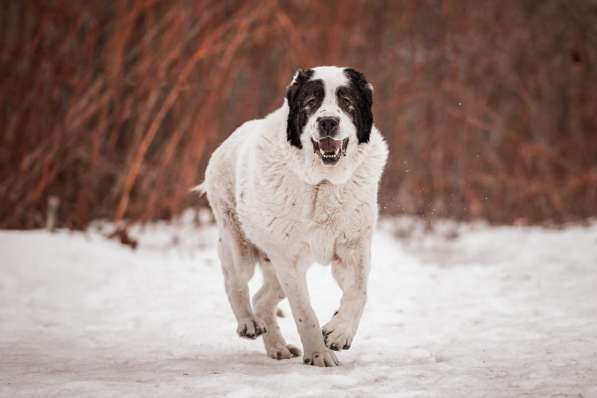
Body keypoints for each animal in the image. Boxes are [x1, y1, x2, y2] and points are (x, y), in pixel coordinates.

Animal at [198, 65, 388, 366]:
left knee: (262, 298)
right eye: (311, 102)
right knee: (235, 283)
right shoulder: (290, 261)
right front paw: (319, 355)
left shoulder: (354, 248)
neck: (323, 184)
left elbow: (359, 291)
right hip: (241, 246)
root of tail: (225, 143)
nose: (328, 122)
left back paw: (278, 347)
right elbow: (304, 312)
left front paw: (338, 333)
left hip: (276, 270)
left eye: (347, 101)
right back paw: (249, 324)